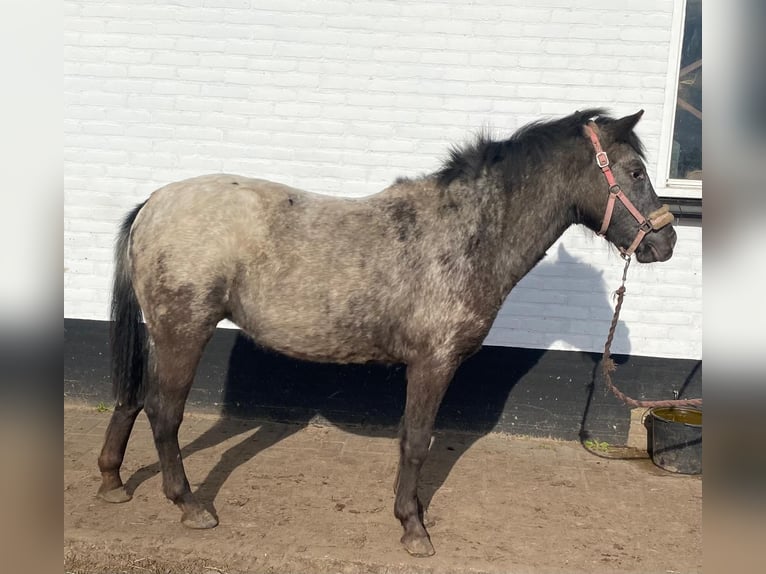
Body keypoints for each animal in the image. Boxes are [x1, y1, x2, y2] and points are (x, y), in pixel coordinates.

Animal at [96, 108, 680, 560]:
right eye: (633, 171)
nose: (667, 242)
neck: (464, 235)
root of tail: (153, 204)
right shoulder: (433, 363)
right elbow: (417, 441)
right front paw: (413, 528)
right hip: (184, 332)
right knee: (163, 413)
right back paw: (189, 505)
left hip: (162, 333)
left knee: (131, 398)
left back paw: (112, 482)